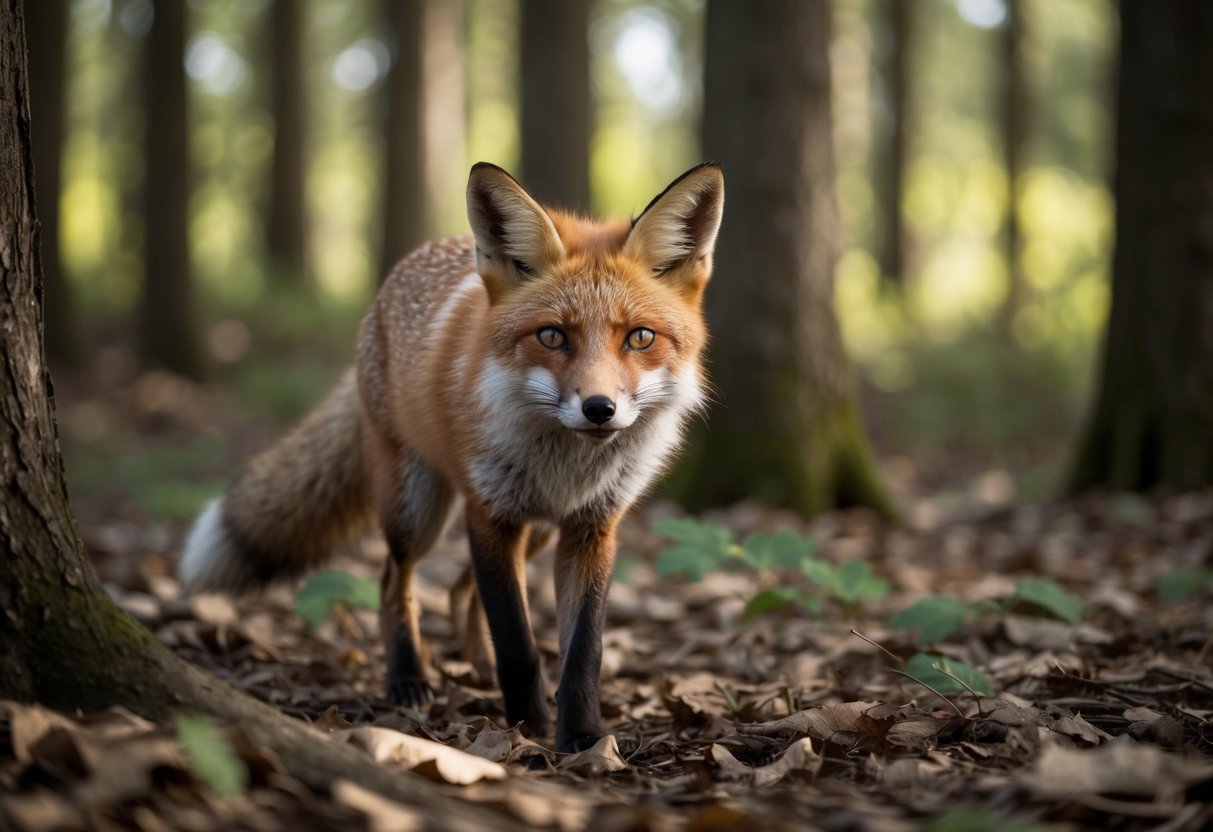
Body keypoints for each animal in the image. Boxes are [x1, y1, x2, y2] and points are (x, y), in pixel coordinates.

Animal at [180, 161, 724, 753]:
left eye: (640, 337)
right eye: (552, 336)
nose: (599, 409)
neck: (567, 469)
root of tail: (391, 284)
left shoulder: (590, 527)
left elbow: (584, 651)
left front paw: (582, 737)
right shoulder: (490, 512)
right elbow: (516, 641)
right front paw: (527, 726)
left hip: (532, 531)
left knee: (461, 590)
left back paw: (474, 664)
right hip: (418, 511)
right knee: (395, 582)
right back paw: (408, 677)